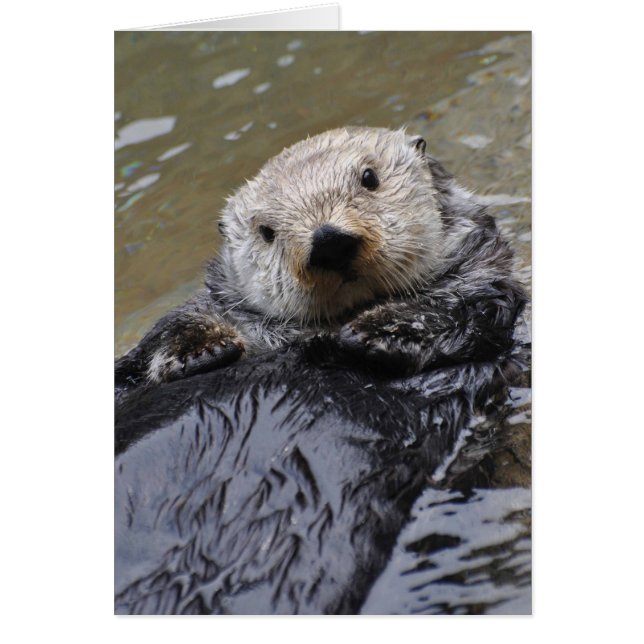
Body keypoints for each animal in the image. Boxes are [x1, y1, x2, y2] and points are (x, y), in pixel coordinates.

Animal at [115, 126, 525, 396]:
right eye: (266, 232)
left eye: (369, 177)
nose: (329, 242)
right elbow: (176, 323)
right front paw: (201, 350)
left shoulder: (481, 278)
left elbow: (454, 308)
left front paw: (379, 331)